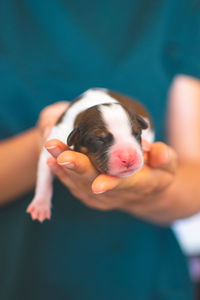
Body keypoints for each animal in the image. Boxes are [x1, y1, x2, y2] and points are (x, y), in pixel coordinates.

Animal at [27, 88, 154, 221]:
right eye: (100, 140)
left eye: (136, 134)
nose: (128, 158)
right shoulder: (55, 139)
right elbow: (44, 175)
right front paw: (40, 205)